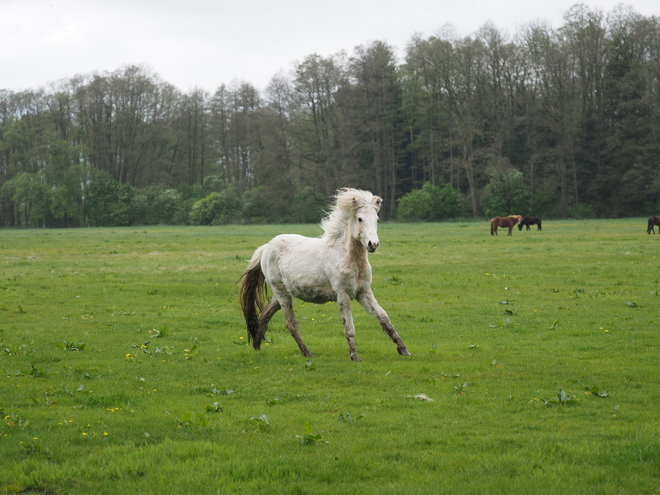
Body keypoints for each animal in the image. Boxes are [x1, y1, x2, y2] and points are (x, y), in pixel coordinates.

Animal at [240, 188, 410, 362]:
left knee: (265, 314)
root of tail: (267, 247)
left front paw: (403, 349)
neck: (347, 257)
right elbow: (349, 327)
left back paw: (257, 346)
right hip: (282, 294)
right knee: (291, 324)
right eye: (360, 219)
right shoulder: (343, 294)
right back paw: (307, 353)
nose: (373, 244)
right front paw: (354, 356)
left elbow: (383, 317)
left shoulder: (363, 292)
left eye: (377, 219)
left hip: (281, 294)